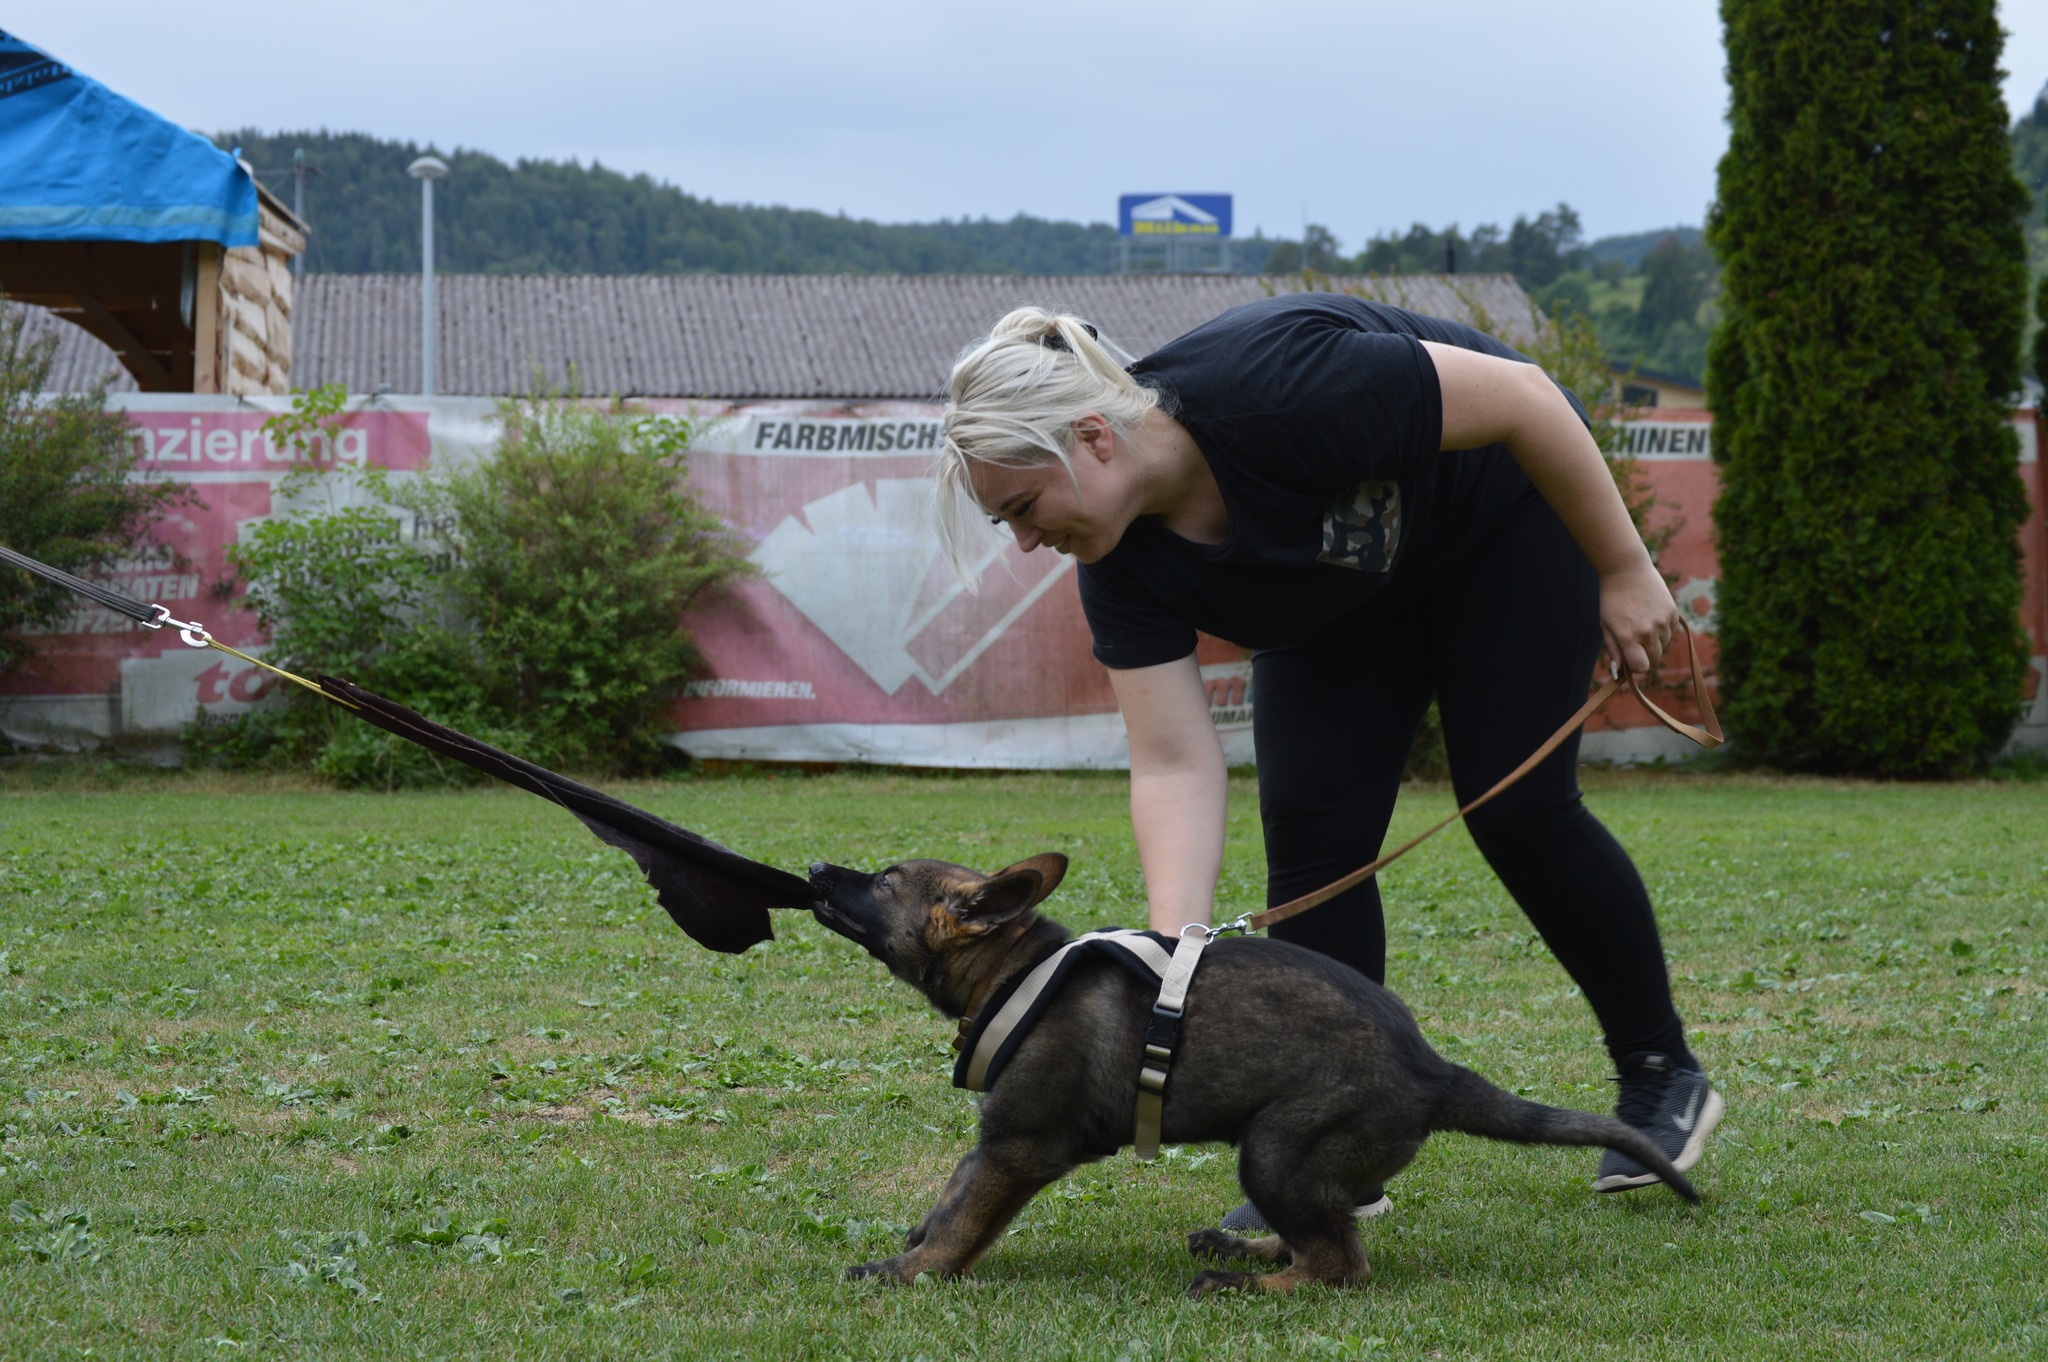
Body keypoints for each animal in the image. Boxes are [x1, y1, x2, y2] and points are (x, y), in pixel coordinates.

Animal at [805, 852, 1697, 1297]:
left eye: (882, 881)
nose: (814, 868)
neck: (1015, 968)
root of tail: (1436, 1071)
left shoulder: (1020, 1143)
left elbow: (966, 1219)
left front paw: (910, 1273)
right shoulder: (997, 1139)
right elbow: (953, 1190)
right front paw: (915, 1242)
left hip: (1276, 1149)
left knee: (1341, 1269)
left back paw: (1240, 1283)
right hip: (1295, 1165)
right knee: (1327, 1231)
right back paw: (1248, 1247)